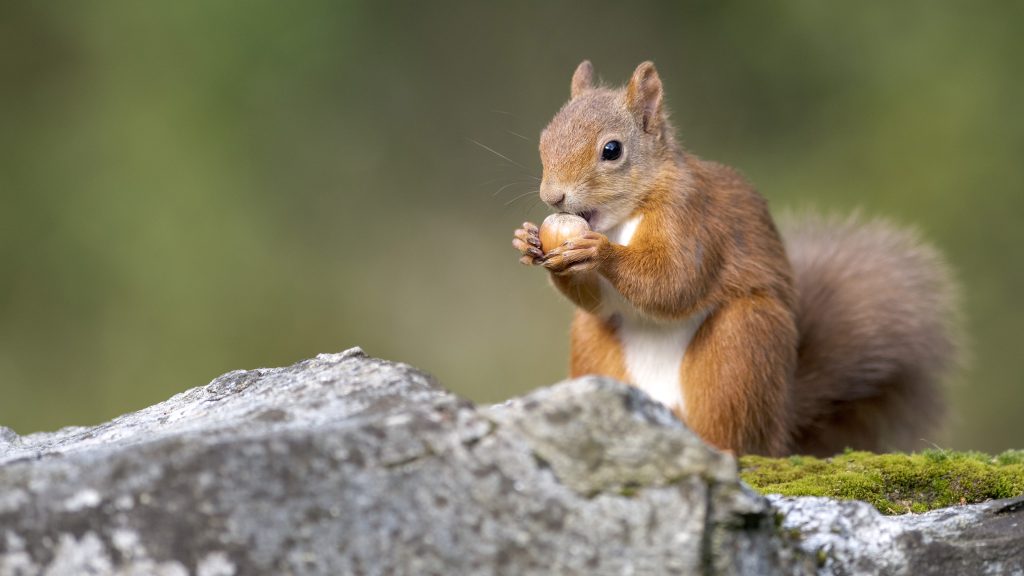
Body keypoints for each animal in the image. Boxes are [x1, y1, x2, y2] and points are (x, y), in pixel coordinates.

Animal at [512, 60, 959, 456]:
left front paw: (597, 251)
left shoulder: (694, 219)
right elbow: (599, 300)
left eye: (611, 150)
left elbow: (674, 282)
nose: (553, 196)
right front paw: (528, 240)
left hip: (741, 345)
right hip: (592, 343)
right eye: (544, 138)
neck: (624, 217)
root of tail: (779, 428)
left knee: (733, 432)